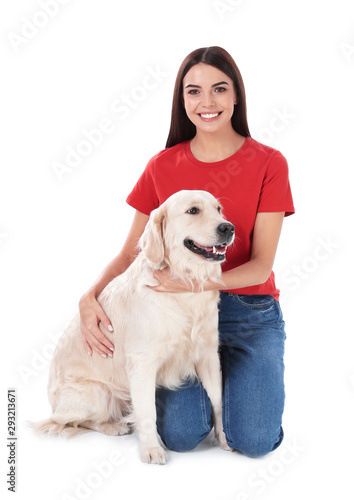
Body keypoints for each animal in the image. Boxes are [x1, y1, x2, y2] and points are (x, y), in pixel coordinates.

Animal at [32, 189, 235, 462]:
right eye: (193, 210)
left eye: (219, 209)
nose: (229, 228)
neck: (184, 287)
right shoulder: (142, 363)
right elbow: (148, 412)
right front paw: (151, 449)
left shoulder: (207, 354)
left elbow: (218, 401)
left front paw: (225, 438)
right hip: (96, 393)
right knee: (72, 421)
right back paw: (112, 425)